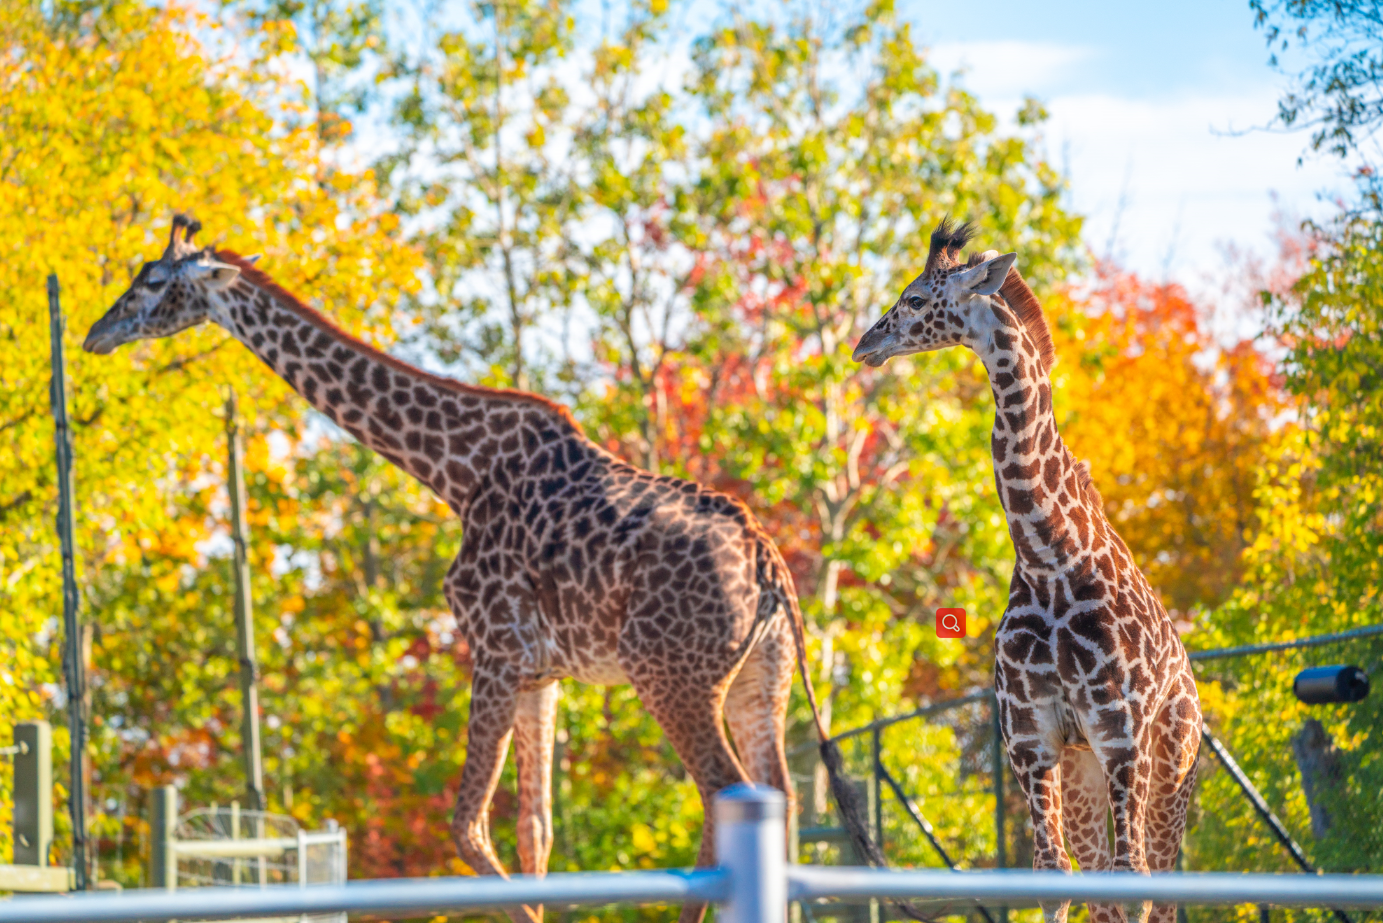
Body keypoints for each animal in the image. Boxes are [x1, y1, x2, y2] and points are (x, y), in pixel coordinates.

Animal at [83, 215, 864, 923]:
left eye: (150, 282)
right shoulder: (542, 672)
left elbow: (467, 828)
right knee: (778, 799)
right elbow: (533, 832)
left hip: (673, 678)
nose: (95, 333)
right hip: (762, 679)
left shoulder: (493, 650)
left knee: (722, 796)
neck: (452, 472)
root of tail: (769, 571)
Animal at [851, 219, 1202, 923]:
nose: (865, 344)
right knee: (1099, 876)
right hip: (1084, 769)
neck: (1051, 560)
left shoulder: (1120, 732)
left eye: (913, 299)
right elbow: (1052, 872)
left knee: (1157, 878)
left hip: (1169, 760)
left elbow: (1133, 877)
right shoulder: (1032, 738)